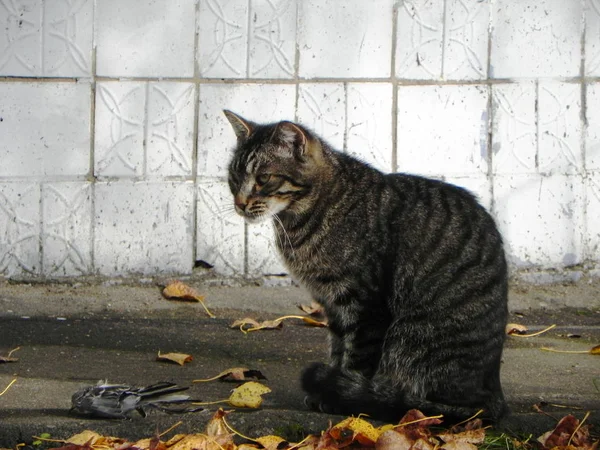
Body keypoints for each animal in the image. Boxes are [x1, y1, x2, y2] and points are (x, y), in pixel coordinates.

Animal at [223, 109, 508, 422]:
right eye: (234, 177)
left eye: (263, 178)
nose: (239, 203)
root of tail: (495, 394)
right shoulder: (332, 304)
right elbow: (338, 350)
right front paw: (329, 388)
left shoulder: (364, 305)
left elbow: (357, 359)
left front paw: (339, 398)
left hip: (408, 337)